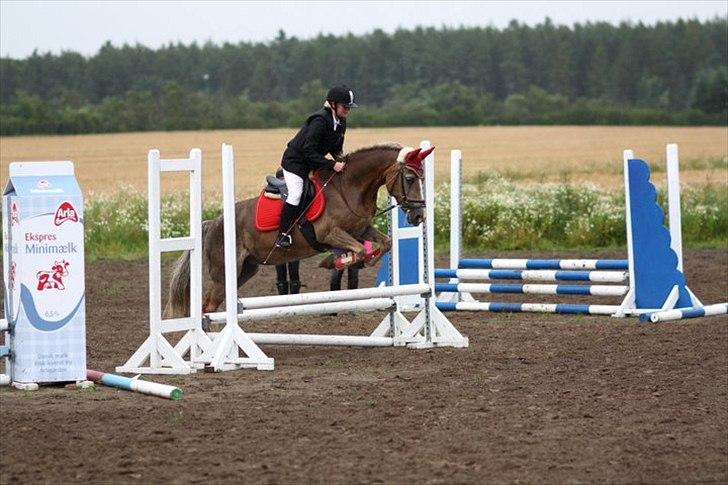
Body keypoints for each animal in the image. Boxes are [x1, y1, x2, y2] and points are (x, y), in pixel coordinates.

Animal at [164, 142, 432, 316]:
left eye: (422, 179)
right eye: (409, 179)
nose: (419, 215)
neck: (348, 188)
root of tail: (212, 223)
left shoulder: (361, 230)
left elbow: (384, 243)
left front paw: (358, 260)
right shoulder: (330, 234)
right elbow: (359, 250)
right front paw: (338, 261)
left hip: (246, 269)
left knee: (212, 306)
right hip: (223, 273)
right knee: (207, 307)